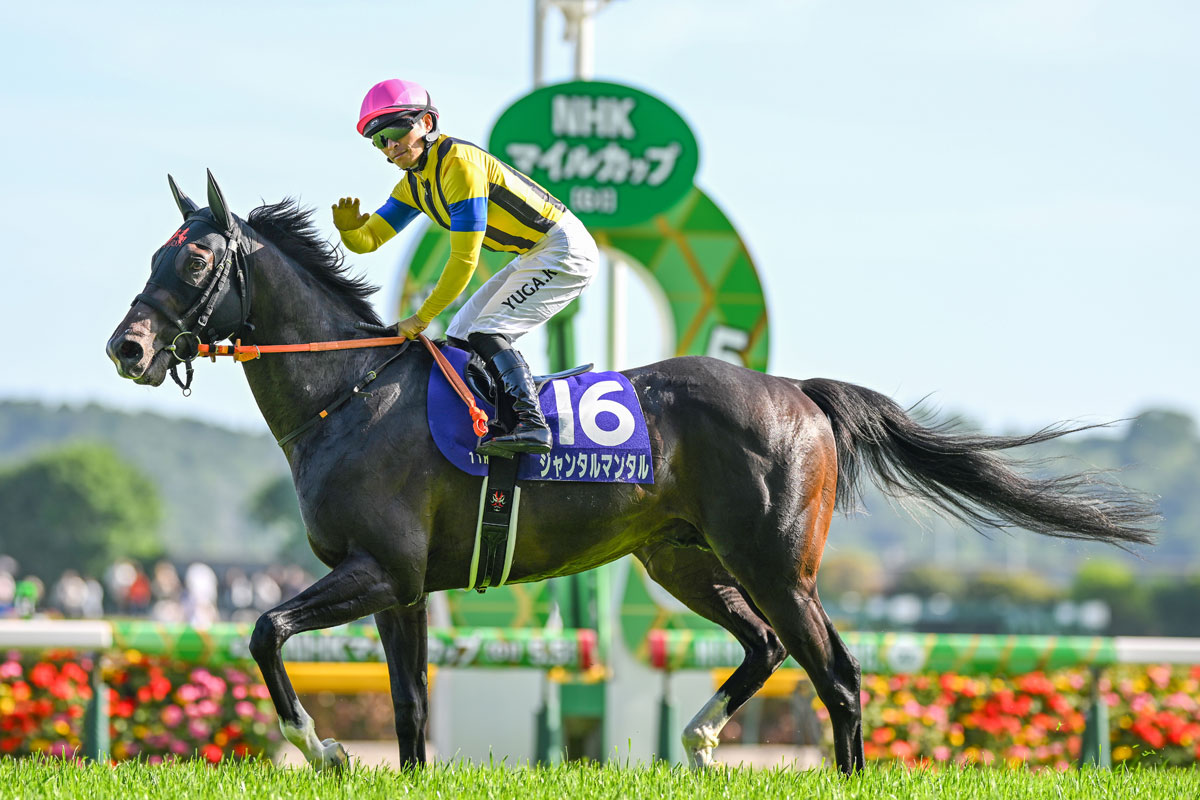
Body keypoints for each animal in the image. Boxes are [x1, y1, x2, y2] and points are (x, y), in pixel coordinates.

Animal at [106, 172, 1156, 774]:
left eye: (192, 262)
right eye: (152, 253)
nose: (128, 347)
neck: (349, 392)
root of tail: (800, 392)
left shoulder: (378, 571)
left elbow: (265, 630)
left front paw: (315, 745)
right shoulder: (401, 585)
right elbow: (406, 704)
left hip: (778, 566)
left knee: (838, 675)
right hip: (681, 559)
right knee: (767, 651)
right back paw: (697, 737)